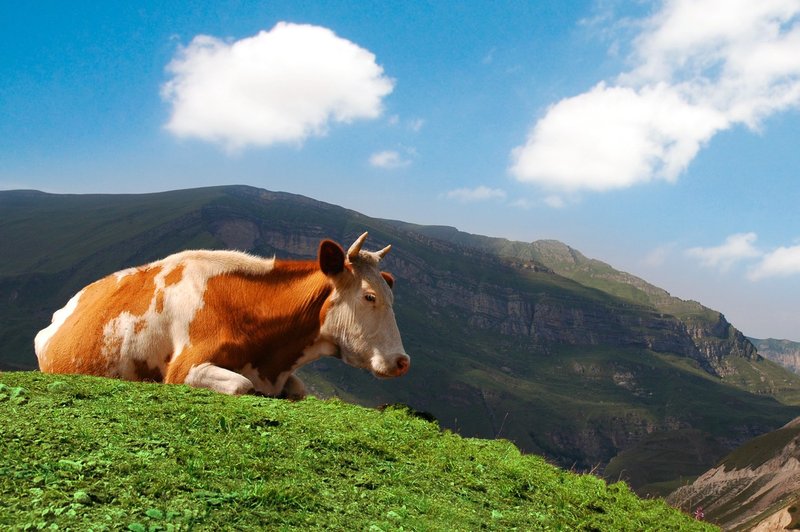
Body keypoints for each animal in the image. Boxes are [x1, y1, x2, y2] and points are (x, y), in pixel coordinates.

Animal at [34, 231, 410, 396]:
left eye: (392, 296)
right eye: (369, 296)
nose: (402, 361)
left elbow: (300, 390)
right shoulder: (184, 368)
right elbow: (242, 386)